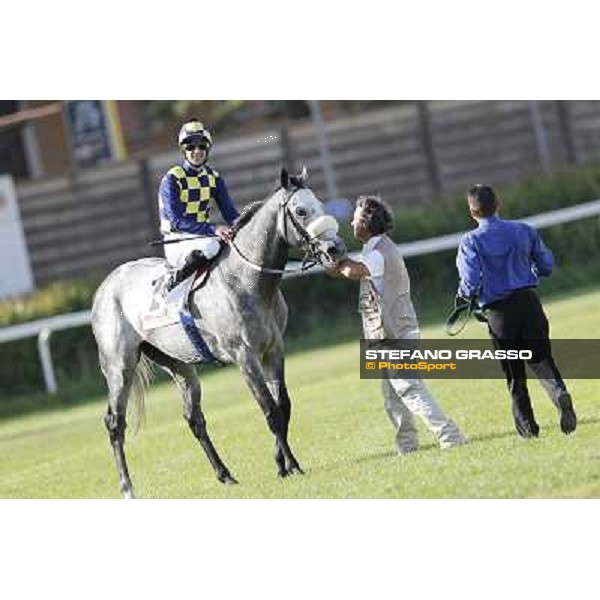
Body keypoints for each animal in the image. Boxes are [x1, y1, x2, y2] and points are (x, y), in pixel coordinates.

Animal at [92, 169, 346, 496]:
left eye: (321, 204)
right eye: (301, 211)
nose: (335, 249)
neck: (245, 281)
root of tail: (105, 286)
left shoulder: (273, 349)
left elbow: (284, 406)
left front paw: (282, 464)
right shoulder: (244, 356)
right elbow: (270, 411)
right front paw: (291, 465)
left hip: (180, 365)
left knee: (194, 418)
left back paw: (224, 474)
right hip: (119, 367)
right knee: (115, 423)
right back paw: (127, 488)